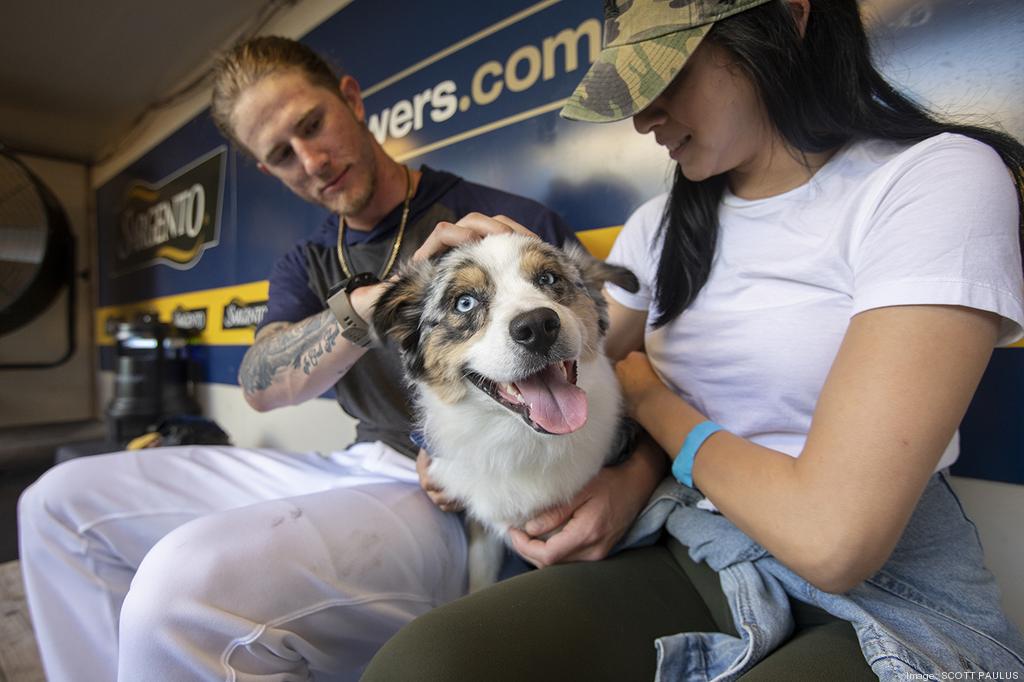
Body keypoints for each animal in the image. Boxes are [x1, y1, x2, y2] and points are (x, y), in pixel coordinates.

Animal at [372, 231, 634, 585]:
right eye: (464, 302)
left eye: (548, 278)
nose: (537, 327)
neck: (519, 440)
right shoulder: (483, 525)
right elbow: (480, 575)